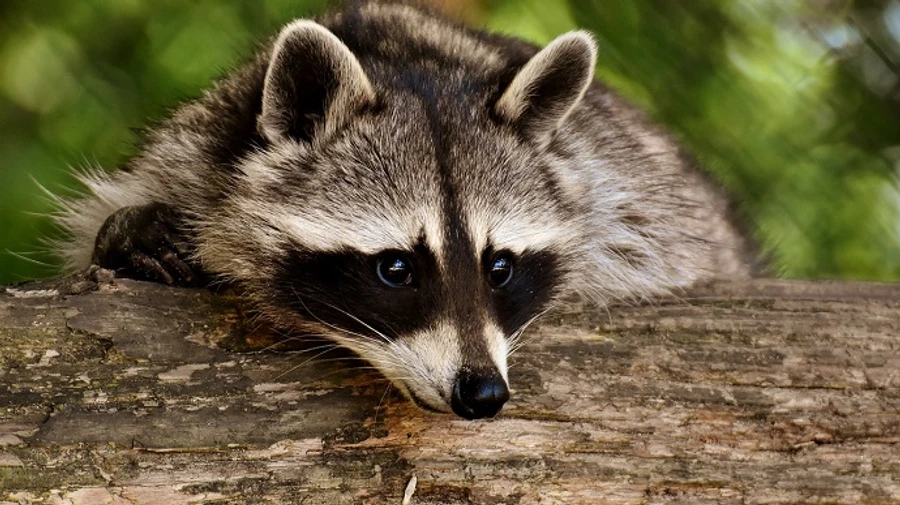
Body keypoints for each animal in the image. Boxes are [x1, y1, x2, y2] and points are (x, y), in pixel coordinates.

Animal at [55, 1, 751, 419]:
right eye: (396, 268)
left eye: (500, 267)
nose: (483, 393)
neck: (407, 60)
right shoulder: (191, 151)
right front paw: (129, 235)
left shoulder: (625, 194)